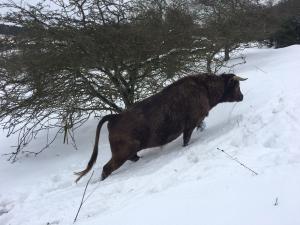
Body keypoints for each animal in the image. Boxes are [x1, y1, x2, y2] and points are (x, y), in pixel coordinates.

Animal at [74, 73, 246, 182]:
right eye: (236, 85)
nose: (242, 96)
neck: (204, 88)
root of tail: (115, 117)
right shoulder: (190, 124)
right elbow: (187, 140)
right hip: (121, 152)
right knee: (106, 168)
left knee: (132, 158)